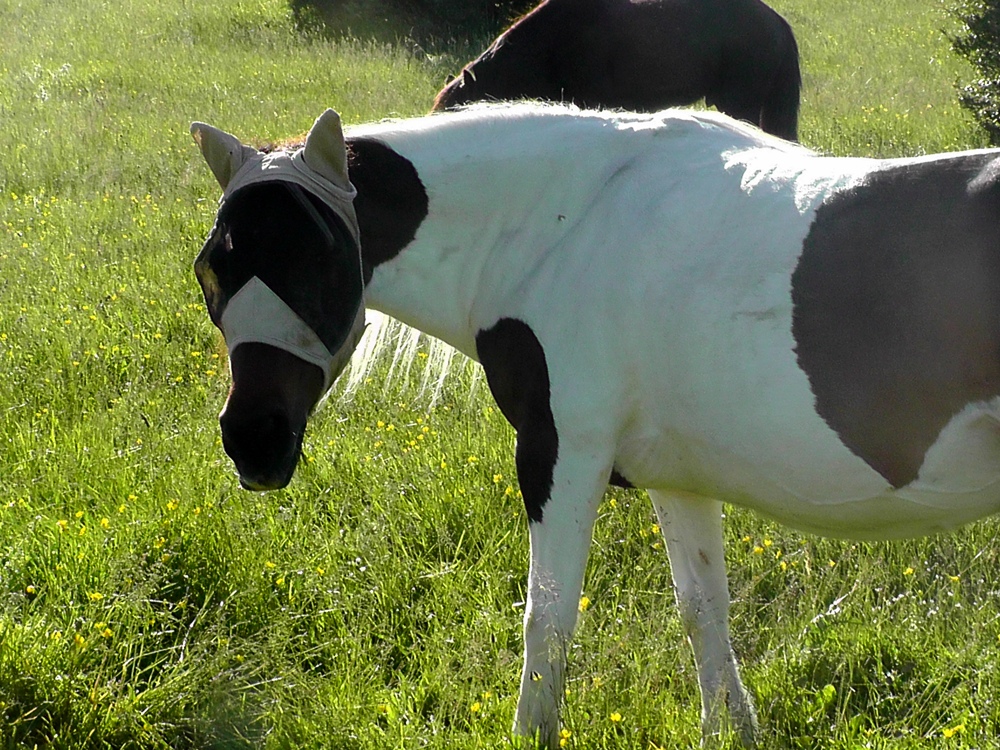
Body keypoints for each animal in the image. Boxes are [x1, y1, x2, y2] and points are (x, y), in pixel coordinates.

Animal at [190, 103, 1000, 747]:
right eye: (210, 270)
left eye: (321, 259)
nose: (253, 439)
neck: (567, 221)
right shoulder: (679, 479)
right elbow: (704, 611)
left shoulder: (561, 454)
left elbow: (548, 622)